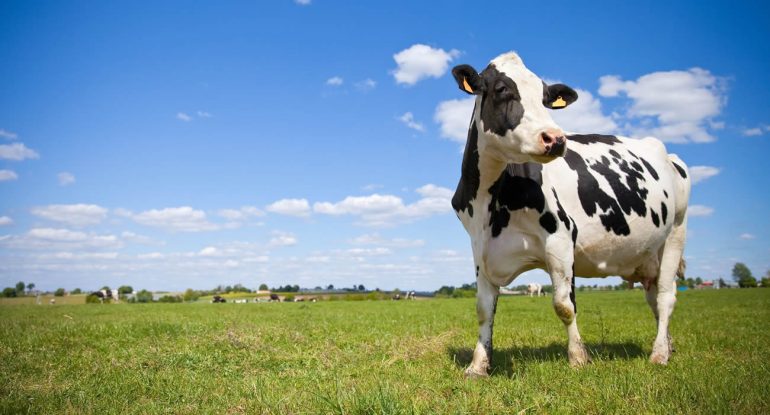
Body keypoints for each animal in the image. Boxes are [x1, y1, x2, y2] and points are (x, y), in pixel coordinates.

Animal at [450, 52, 690, 377]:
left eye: (546, 98)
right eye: (501, 89)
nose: (555, 138)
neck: (489, 202)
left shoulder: (561, 237)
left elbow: (564, 305)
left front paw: (578, 358)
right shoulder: (480, 247)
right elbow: (484, 310)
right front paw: (478, 366)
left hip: (675, 231)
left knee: (666, 297)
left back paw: (659, 353)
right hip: (647, 252)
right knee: (653, 297)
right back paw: (668, 345)